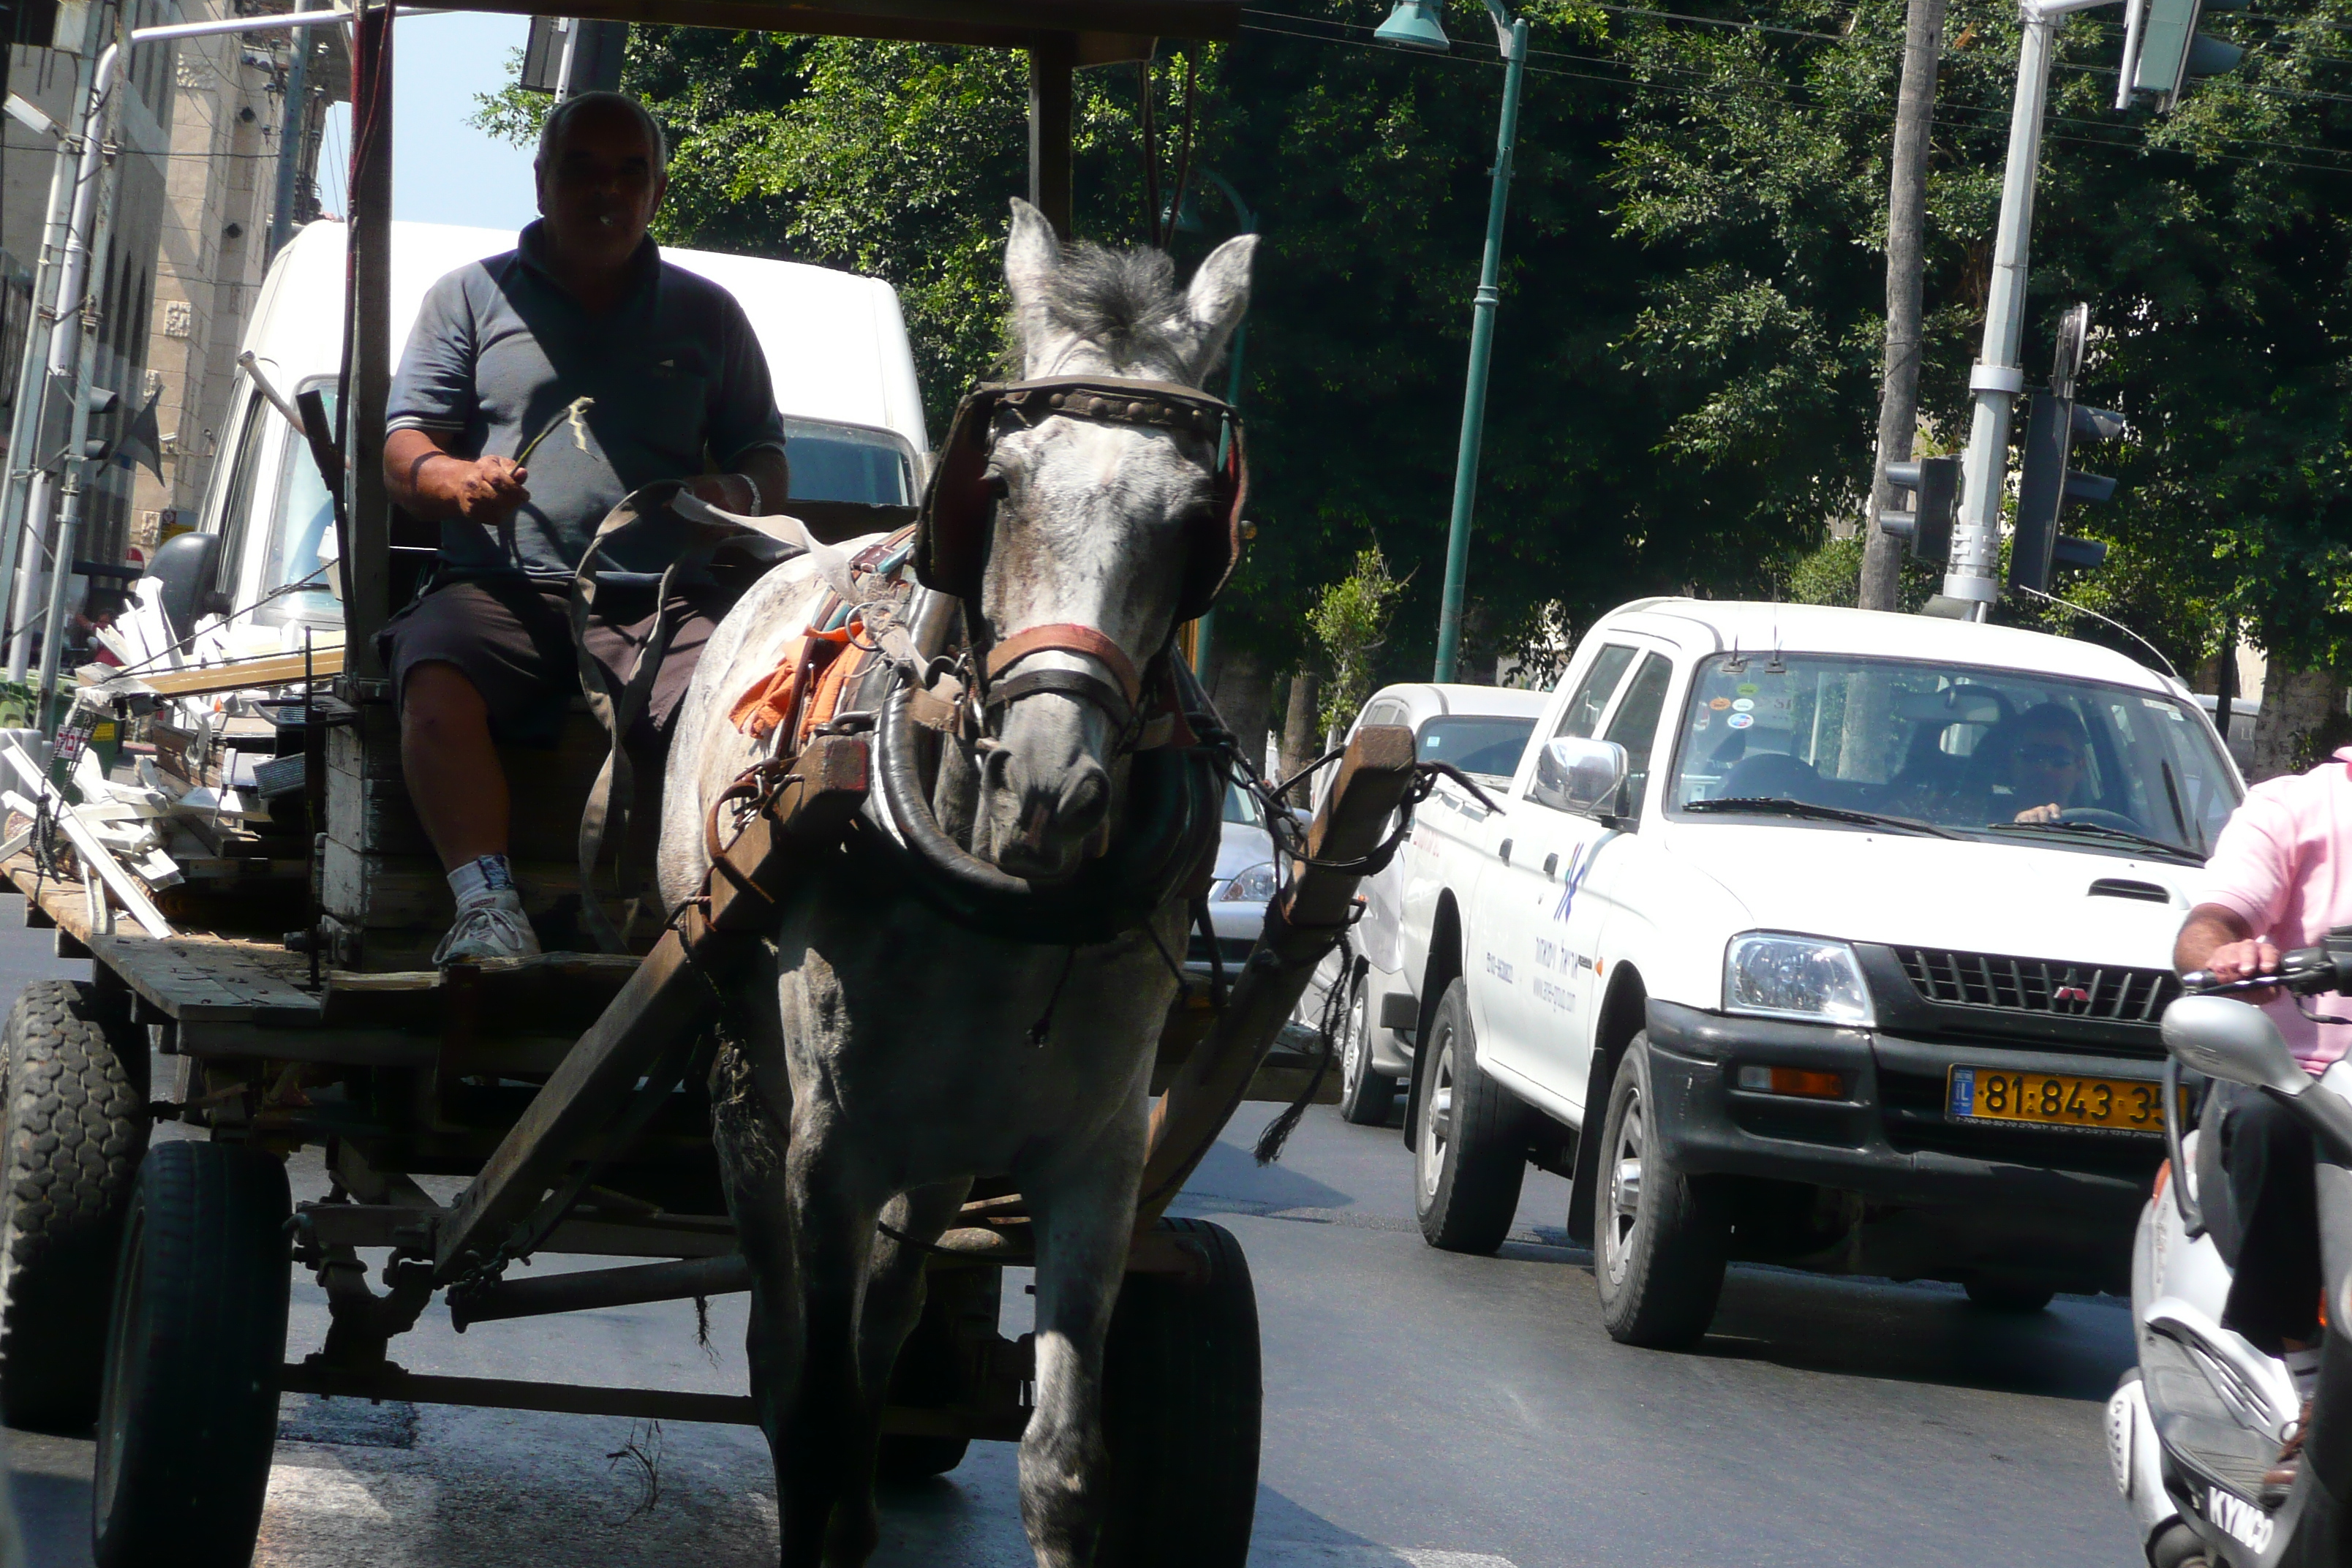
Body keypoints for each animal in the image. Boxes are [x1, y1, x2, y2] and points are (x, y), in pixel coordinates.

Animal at [654, 200, 1260, 1568]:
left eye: (1195, 517)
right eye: (1005, 487)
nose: (1052, 787)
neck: (1001, 894)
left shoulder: (1094, 1156)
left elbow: (1063, 1461)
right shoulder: (830, 1148)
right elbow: (816, 1410)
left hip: (940, 1151)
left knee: (888, 1320)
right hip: (751, 1085)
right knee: (789, 1357)